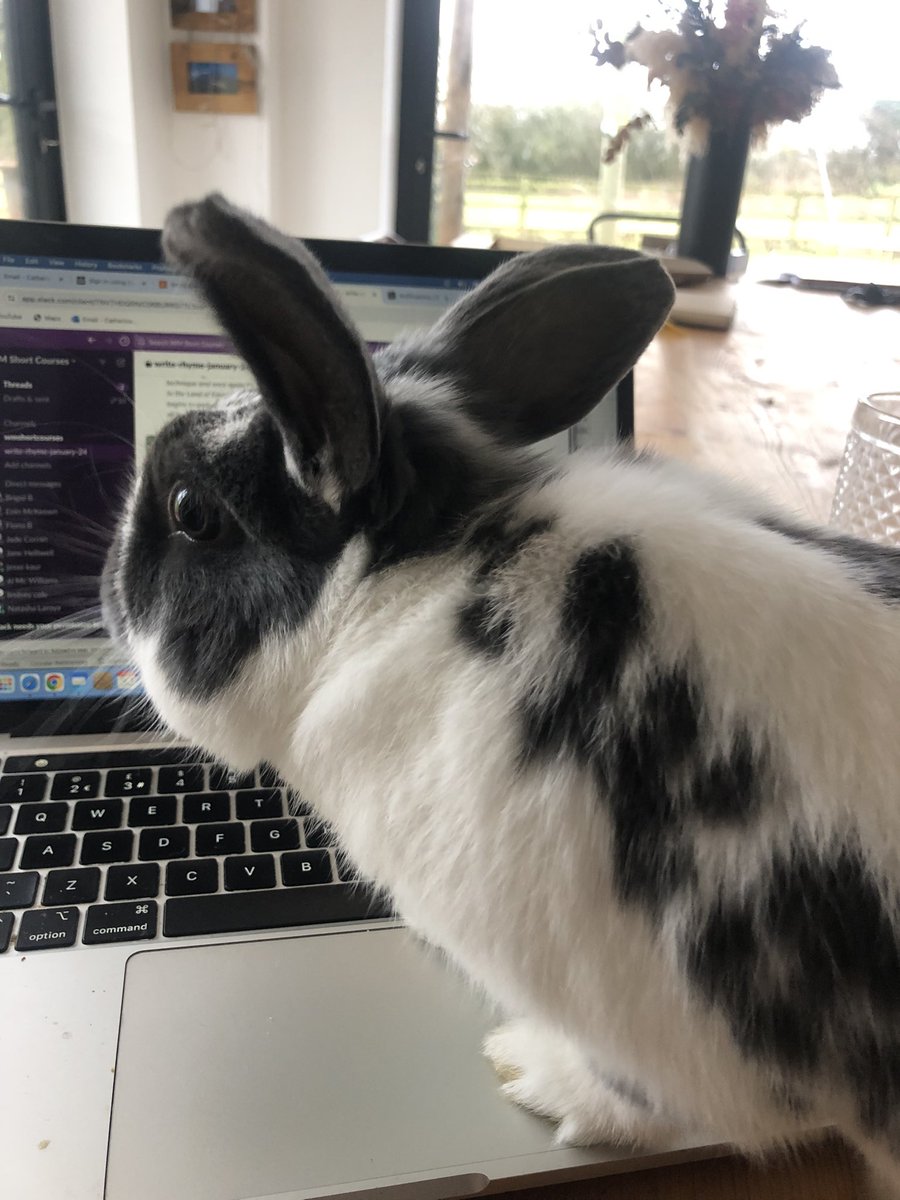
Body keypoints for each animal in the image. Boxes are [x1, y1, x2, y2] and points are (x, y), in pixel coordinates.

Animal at [103, 193, 900, 1198]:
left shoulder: (668, 1022)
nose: (106, 590)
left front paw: (531, 1073)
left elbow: (637, 1093)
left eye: (191, 514)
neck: (426, 577)